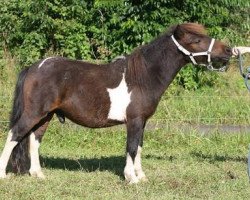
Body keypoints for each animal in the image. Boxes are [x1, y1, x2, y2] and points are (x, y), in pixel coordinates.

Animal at [0, 23, 234, 183]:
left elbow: (139, 147)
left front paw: (141, 176)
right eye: (196, 40)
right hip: (34, 113)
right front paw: (131, 178)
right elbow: (131, 147)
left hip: (45, 116)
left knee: (33, 140)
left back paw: (38, 174)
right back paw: (3, 174)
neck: (143, 76)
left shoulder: (142, 122)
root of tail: (34, 67)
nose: (228, 51)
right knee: (14, 135)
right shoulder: (134, 120)